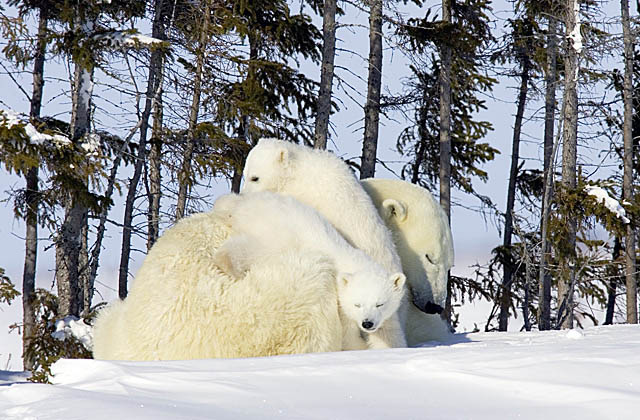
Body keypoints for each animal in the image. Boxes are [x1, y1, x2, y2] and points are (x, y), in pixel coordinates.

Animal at [212, 192, 408, 350]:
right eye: (357, 304)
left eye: (380, 303)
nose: (367, 323)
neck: (355, 263)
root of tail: (245, 204)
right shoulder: (341, 303)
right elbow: (348, 337)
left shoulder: (383, 314)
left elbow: (387, 331)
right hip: (273, 235)